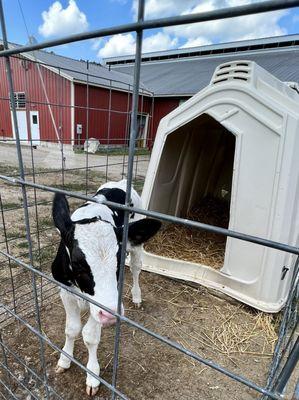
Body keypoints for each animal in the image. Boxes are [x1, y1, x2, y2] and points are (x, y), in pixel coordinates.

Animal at [51, 180, 162, 396]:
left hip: (137, 246)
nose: (112, 315)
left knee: (136, 269)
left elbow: (90, 336)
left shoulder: (101, 305)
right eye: (77, 263)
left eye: (118, 262)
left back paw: (137, 296)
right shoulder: (65, 290)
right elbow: (71, 329)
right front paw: (64, 359)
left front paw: (92, 375)